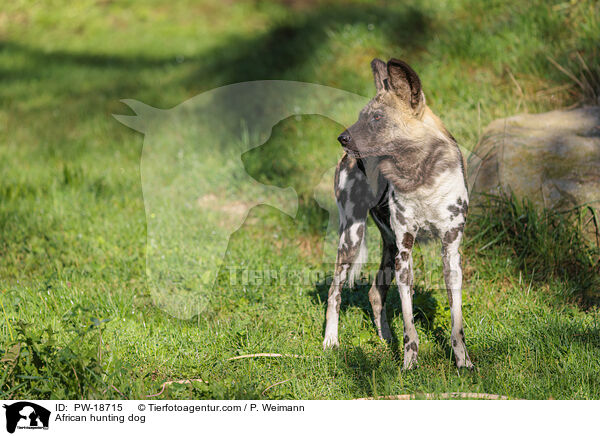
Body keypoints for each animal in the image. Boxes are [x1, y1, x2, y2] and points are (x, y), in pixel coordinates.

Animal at [324, 59, 474, 370]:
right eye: (362, 116)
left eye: (377, 117)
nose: (342, 138)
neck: (421, 177)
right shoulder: (406, 254)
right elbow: (409, 324)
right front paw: (409, 364)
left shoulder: (450, 253)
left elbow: (457, 323)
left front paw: (463, 362)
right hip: (351, 239)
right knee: (334, 292)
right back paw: (330, 341)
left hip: (389, 247)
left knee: (374, 292)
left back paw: (385, 338)